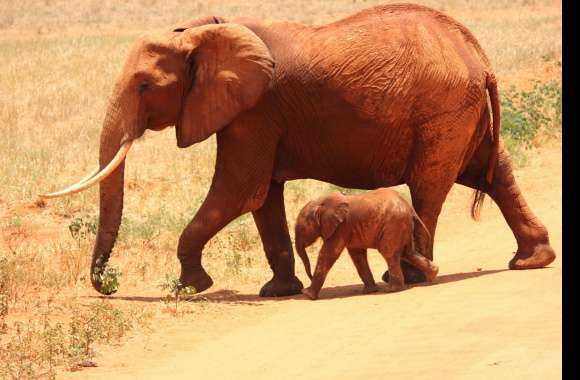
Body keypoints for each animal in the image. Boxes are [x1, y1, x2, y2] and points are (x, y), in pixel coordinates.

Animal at [294, 188, 440, 300]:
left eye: (301, 229)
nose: (309, 277)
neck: (322, 203)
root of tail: (410, 208)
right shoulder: (348, 229)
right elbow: (357, 255)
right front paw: (369, 291)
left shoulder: (341, 227)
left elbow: (329, 253)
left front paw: (307, 295)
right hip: (401, 225)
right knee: (407, 252)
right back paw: (433, 276)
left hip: (394, 224)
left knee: (389, 252)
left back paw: (392, 289)